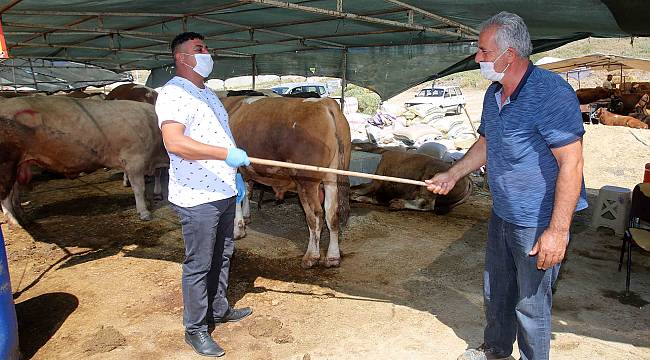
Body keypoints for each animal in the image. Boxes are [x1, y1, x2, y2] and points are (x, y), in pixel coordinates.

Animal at [0, 95, 170, 225]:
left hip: (20, 165)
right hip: (6, 163)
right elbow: (139, 188)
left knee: (15, 193)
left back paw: (23, 216)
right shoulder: (134, 160)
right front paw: (144, 212)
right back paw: (14, 221)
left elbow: (155, 177)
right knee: (5, 196)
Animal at [221, 95, 352, 268]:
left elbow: (237, 197)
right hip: (331, 178)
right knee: (332, 214)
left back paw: (311, 256)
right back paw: (332, 257)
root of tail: (325, 103)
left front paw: (237, 229)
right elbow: (247, 191)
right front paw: (244, 221)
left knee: (316, 216)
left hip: (306, 181)